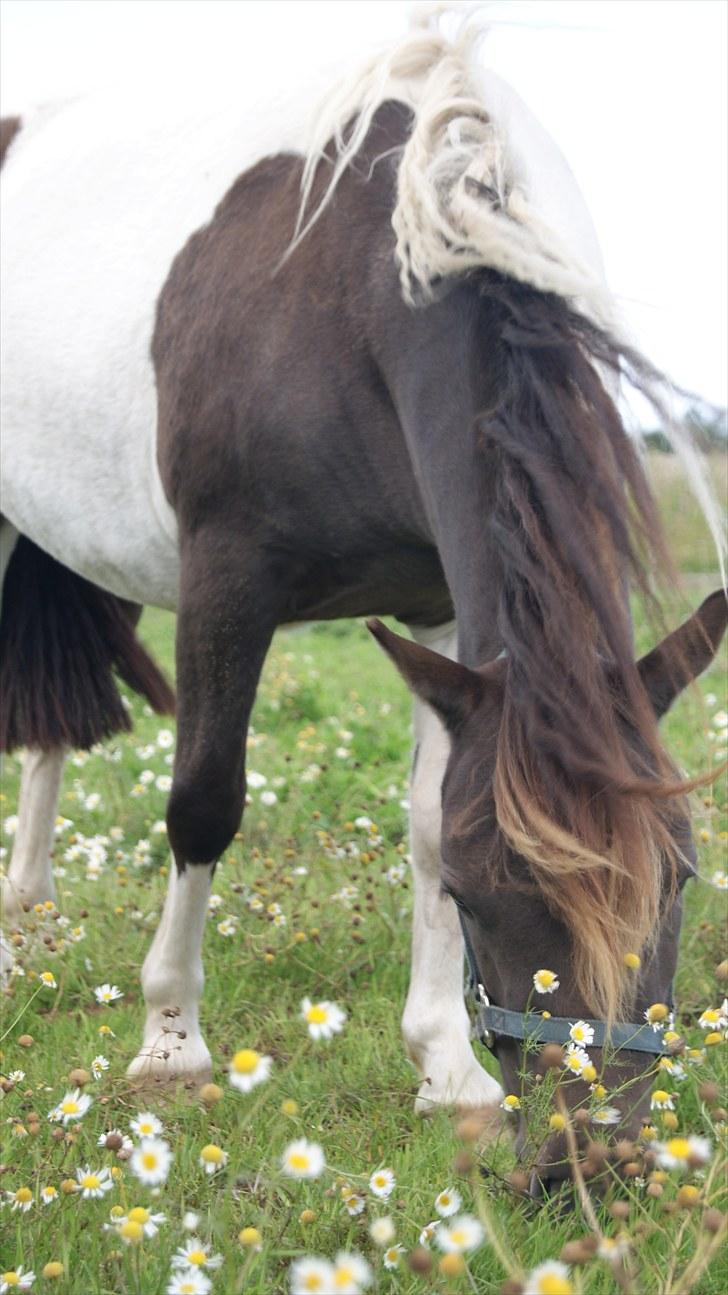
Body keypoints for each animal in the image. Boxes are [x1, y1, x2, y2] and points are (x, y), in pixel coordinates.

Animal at [1, 10, 725, 1186]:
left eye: (681, 876)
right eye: (486, 898)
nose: (591, 1164)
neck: (354, 285)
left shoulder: (438, 616)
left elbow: (425, 820)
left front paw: (443, 1065)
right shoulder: (224, 581)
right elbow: (203, 800)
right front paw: (170, 1043)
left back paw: (26, 905)